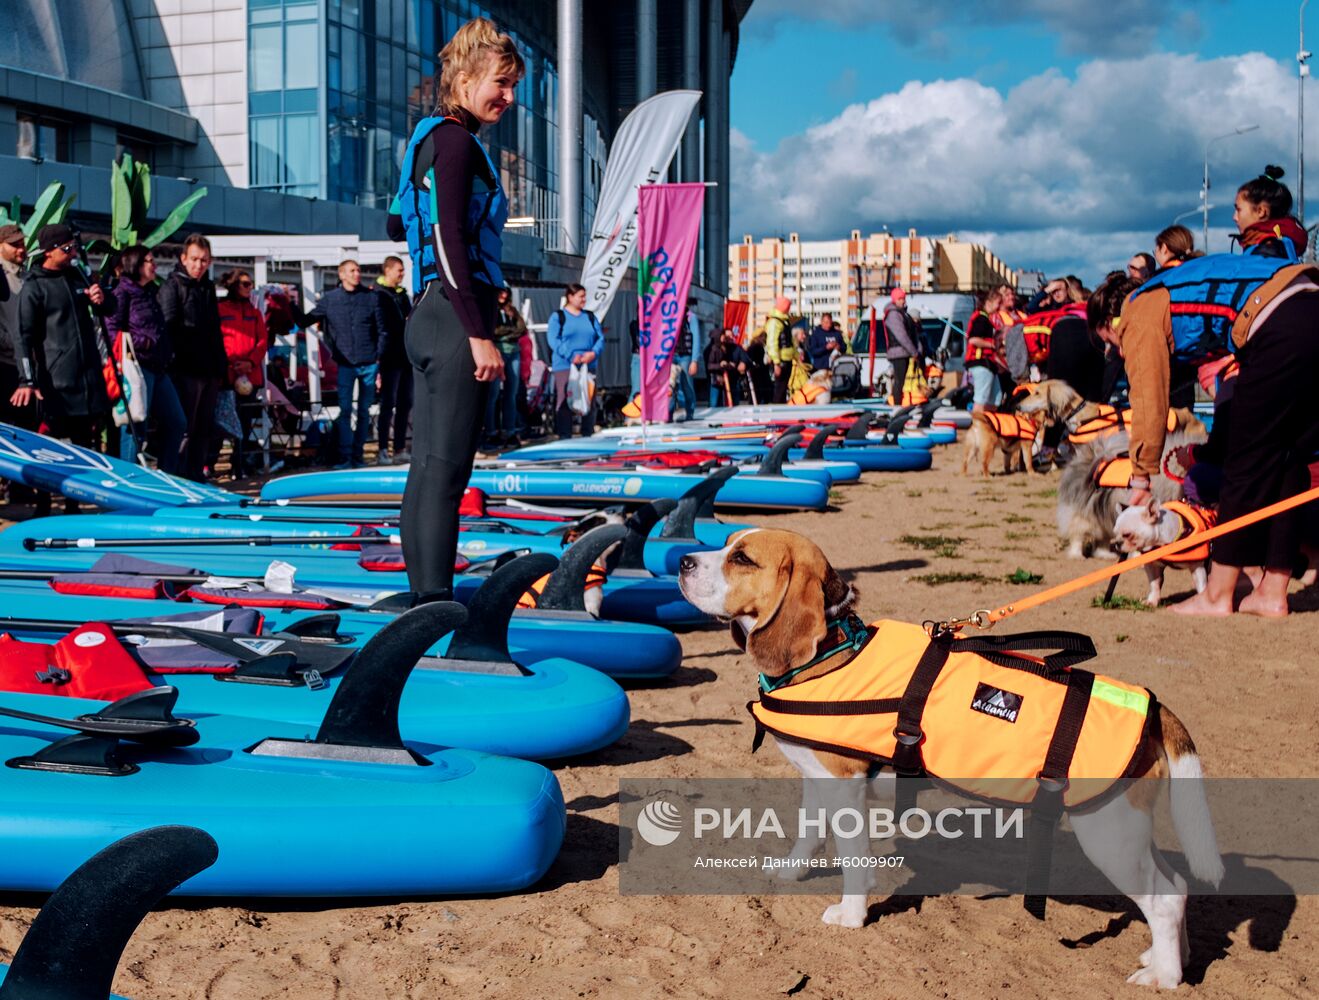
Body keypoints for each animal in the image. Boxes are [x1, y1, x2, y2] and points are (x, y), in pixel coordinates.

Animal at [680, 527, 1224, 992]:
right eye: (726, 543)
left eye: (742, 559)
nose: (682, 560)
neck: (832, 653)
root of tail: (1155, 709)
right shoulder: (818, 782)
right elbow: (809, 836)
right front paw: (792, 874)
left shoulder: (845, 789)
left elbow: (854, 861)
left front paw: (851, 918)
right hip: (1127, 831)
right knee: (1176, 888)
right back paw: (1168, 959)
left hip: (1108, 837)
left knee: (1165, 900)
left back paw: (1164, 977)